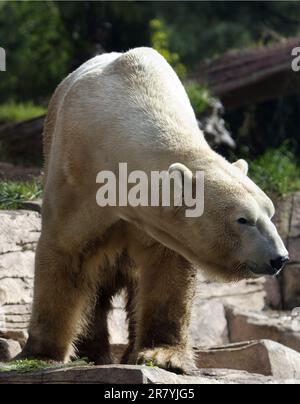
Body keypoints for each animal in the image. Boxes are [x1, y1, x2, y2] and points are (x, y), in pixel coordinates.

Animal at [18, 47, 288, 372]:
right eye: (243, 219)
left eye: (270, 213)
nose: (280, 258)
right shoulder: (75, 176)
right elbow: (65, 251)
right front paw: (40, 354)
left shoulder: (156, 224)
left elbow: (167, 271)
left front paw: (163, 355)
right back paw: (94, 351)